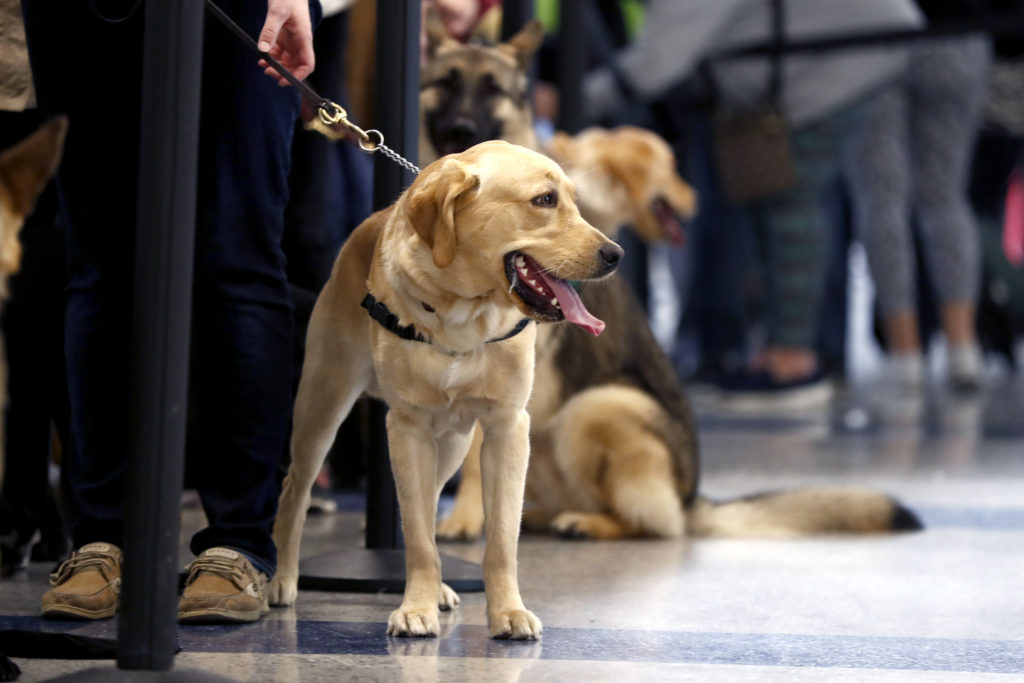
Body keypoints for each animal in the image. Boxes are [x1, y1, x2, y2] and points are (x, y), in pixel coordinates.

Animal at [270, 141, 622, 638]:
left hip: (453, 442)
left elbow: (499, 540)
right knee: (294, 492)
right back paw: (281, 577)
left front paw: (507, 612)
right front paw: (415, 608)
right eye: (544, 200)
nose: (616, 254)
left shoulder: (507, 429)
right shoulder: (408, 428)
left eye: (574, 200)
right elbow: (419, 538)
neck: (464, 314)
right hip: (322, 406)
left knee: (430, 499)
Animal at [415, 20, 921, 540]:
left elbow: (474, 461)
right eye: (445, 83)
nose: (461, 132)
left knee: (655, 521)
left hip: (598, 407)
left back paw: (588, 523)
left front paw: (464, 521)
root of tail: (693, 496)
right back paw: (540, 518)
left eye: (492, 89)